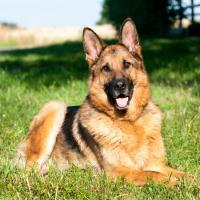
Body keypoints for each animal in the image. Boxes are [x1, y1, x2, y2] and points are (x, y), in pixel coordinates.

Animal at [16, 18, 187, 186]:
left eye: (127, 64)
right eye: (106, 68)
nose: (119, 86)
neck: (128, 121)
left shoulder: (157, 164)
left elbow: (184, 174)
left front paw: (188, 181)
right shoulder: (118, 171)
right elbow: (153, 175)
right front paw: (173, 183)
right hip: (55, 106)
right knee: (30, 169)